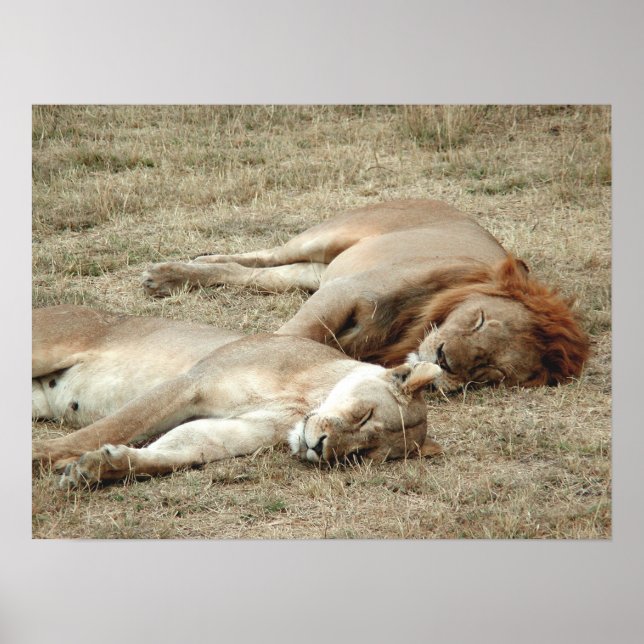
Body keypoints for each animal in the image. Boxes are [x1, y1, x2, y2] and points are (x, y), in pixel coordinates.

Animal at [32, 305, 443, 487]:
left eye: (359, 455)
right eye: (364, 414)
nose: (320, 448)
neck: (302, 401)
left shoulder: (237, 431)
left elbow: (178, 451)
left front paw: (97, 468)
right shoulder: (192, 382)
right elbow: (114, 425)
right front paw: (43, 455)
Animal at [142, 199, 589, 391]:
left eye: (490, 370)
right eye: (479, 320)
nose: (445, 360)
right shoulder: (346, 291)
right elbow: (294, 335)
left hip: (314, 272)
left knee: (256, 274)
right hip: (326, 238)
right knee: (262, 254)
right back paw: (169, 273)